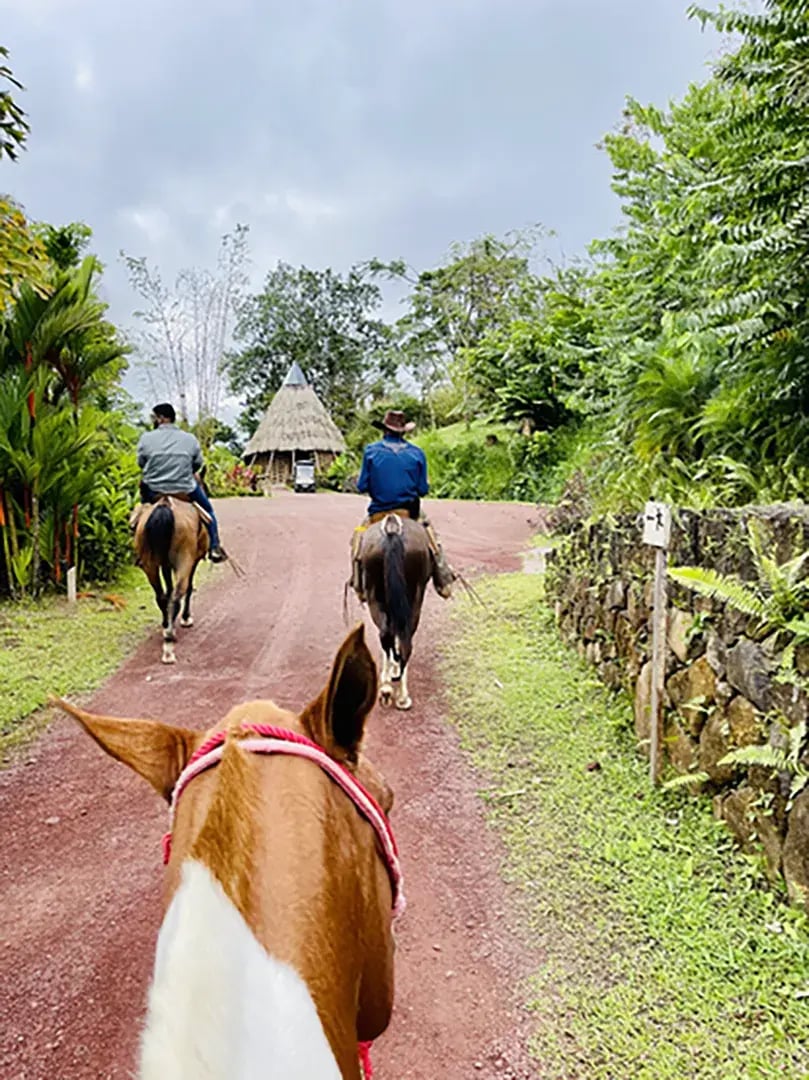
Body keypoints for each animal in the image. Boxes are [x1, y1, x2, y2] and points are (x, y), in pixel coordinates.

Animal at [133, 498, 208, 665]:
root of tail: (164, 505)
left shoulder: (165, 564)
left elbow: (168, 590)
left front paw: (168, 621)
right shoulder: (193, 560)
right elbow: (188, 588)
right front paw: (186, 618)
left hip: (149, 564)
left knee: (161, 596)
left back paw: (167, 627)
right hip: (184, 560)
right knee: (177, 595)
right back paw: (169, 644)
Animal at [358, 511, 432, 708]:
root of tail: (392, 530)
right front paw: (393, 670)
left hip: (377, 598)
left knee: (387, 633)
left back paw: (389, 690)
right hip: (413, 600)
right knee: (402, 638)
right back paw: (401, 695)